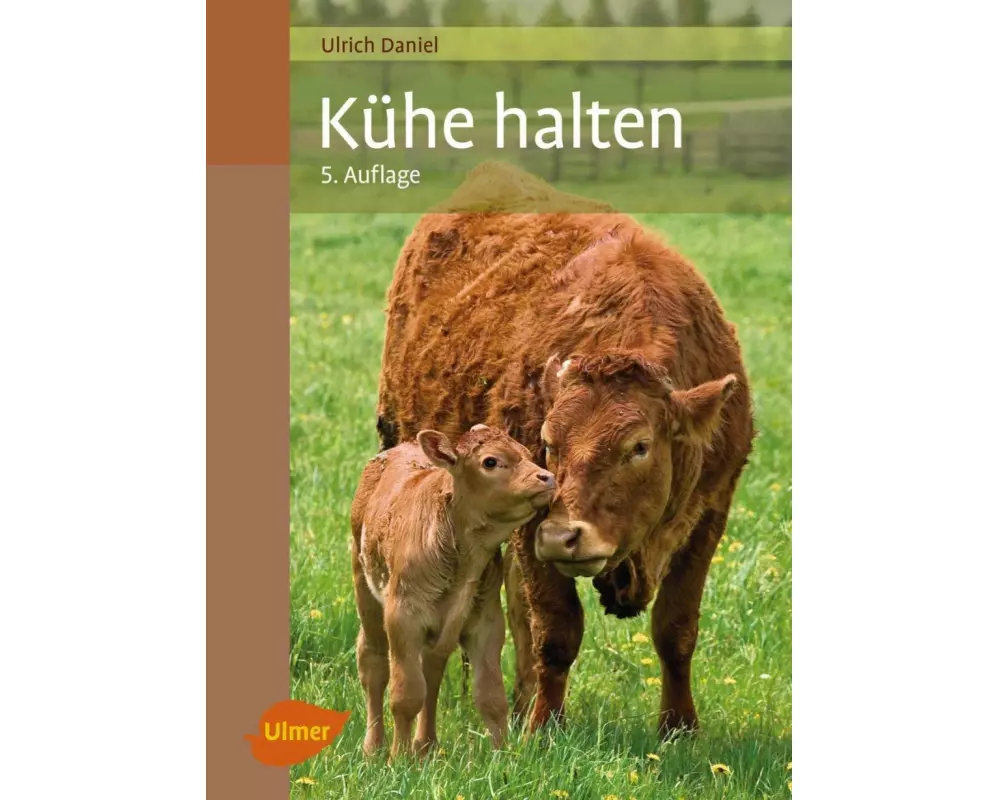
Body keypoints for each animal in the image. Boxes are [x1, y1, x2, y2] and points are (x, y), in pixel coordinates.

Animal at [351, 425, 556, 758]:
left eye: (526, 453)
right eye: (490, 461)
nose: (547, 477)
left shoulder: (486, 621)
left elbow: (491, 697)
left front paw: (502, 758)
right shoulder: (403, 619)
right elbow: (406, 695)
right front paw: (398, 758)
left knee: (432, 670)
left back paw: (426, 745)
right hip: (365, 592)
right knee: (373, 661)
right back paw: (374, 748)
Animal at [375, 208, 754, 737]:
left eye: (639, 446)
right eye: (549, 443)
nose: (563, 537)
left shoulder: (709, 517)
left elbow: (676, 630)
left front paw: (680, 727)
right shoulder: (532, 524)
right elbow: (555, 631)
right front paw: (544, 727)